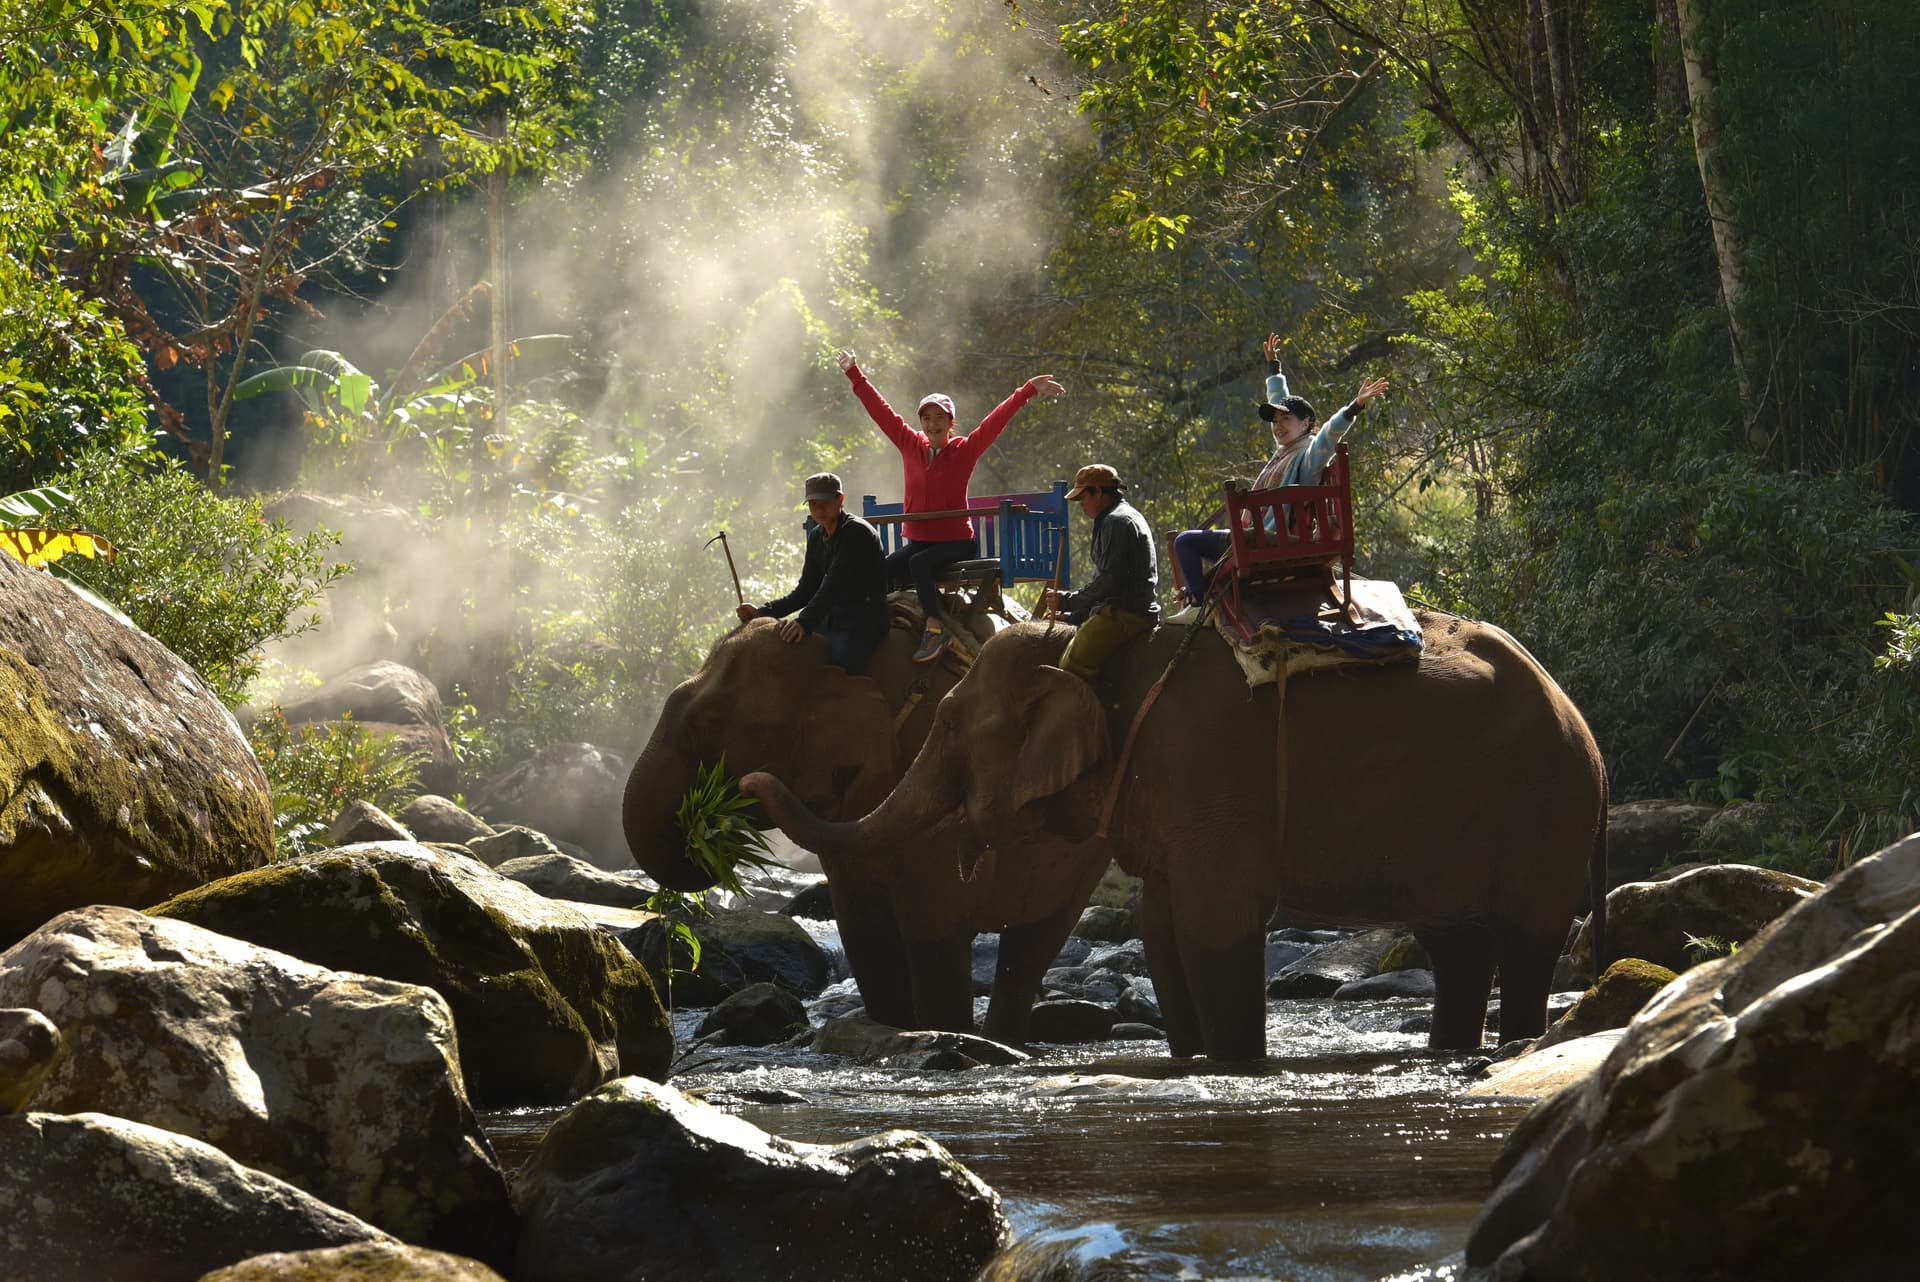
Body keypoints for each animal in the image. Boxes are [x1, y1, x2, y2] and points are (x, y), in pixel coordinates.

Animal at [622, 610, 1110, 1045]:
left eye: (707, 724)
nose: (704, 824)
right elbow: (864, 936)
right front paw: (899, 1030)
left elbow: (933, 934)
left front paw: (944, 1034)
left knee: (1036, 941)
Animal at [742, 613, 1609, 1058]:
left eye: (951, 725)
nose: (748, 783)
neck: (1089, 651)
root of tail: (1586, 727)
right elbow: (1163, 930)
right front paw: (1191, 1061)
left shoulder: (1207, 767)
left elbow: (1212, 924)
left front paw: (1234, 1065)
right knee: (1456, 944)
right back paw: (1450, 1053)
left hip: (1548, 808)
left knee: (1526, 940)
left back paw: (1517, 1044)